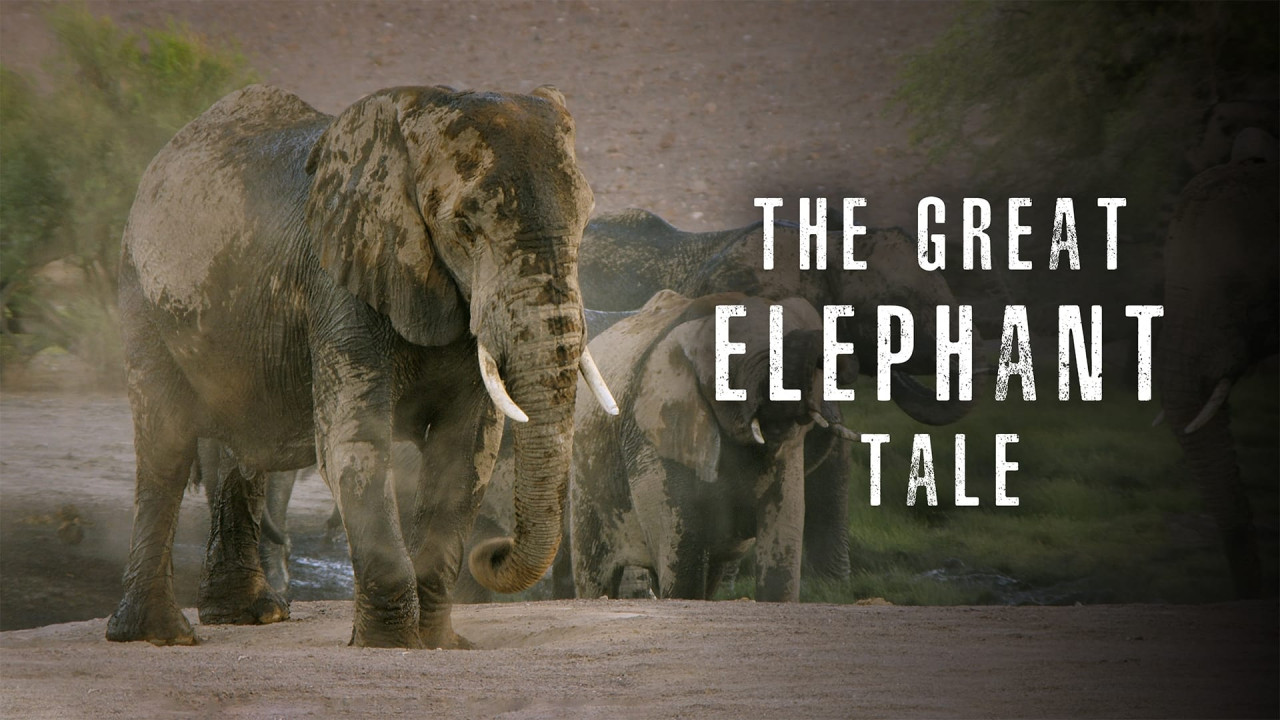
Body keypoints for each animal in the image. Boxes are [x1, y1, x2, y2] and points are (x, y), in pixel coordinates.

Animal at [107, 83, 617, 648]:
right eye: (464, 226)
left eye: (585, 221)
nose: (494, 552)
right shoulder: (337, 279)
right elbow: (356, 442)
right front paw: (390, 645)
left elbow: (466, 453)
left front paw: (440, 644)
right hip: (141, 293)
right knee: (166, 445)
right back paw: (158, 634)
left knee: (241, 448)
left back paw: (253, 615)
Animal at [570, 290, 853, 601]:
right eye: (730, 366)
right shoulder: (654, 437)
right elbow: (683, 561)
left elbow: (781, 552)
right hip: (585, 484)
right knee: (595, 573)